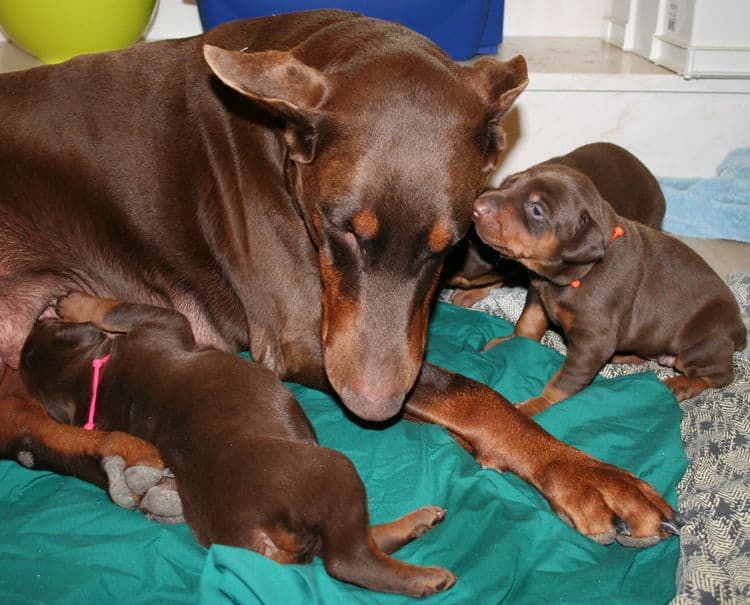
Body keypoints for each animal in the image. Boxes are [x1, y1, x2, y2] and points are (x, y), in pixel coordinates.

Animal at [20, 294, 458, 600]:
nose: (40, 316)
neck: (92, 379)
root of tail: (256, 535)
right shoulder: (161, 320)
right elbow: (115, 307)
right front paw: (76, 302)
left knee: (351, 543)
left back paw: (418, 522)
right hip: (333, 471)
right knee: (347, 560)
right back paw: (428, 577)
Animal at [476, 143, 748, 416]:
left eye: (536, 209)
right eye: (509, 182)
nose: (477, 207)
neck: (578, 274)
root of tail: (739, 330)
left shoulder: (593, 341)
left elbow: (563, 381)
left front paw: (533, 406)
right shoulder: (538, 292)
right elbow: (527, 324)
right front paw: (508, 341)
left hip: (702, 345)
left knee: (721, 375)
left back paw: (681, 384)